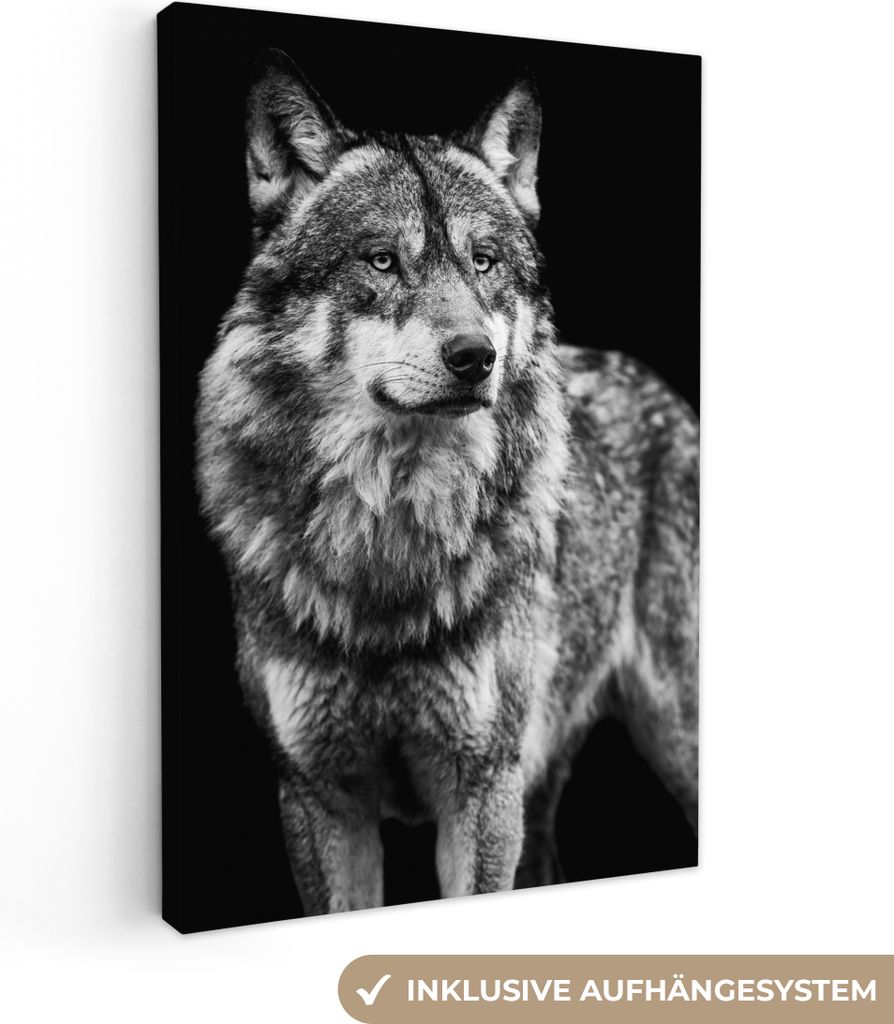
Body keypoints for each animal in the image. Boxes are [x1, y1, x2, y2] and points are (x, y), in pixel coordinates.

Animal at [196, 50, 698, 915]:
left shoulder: (481, 790)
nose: (475, 357)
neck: (390, 535)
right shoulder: (319, 798)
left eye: (484, 261)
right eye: (382, 260)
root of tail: (660, 388)